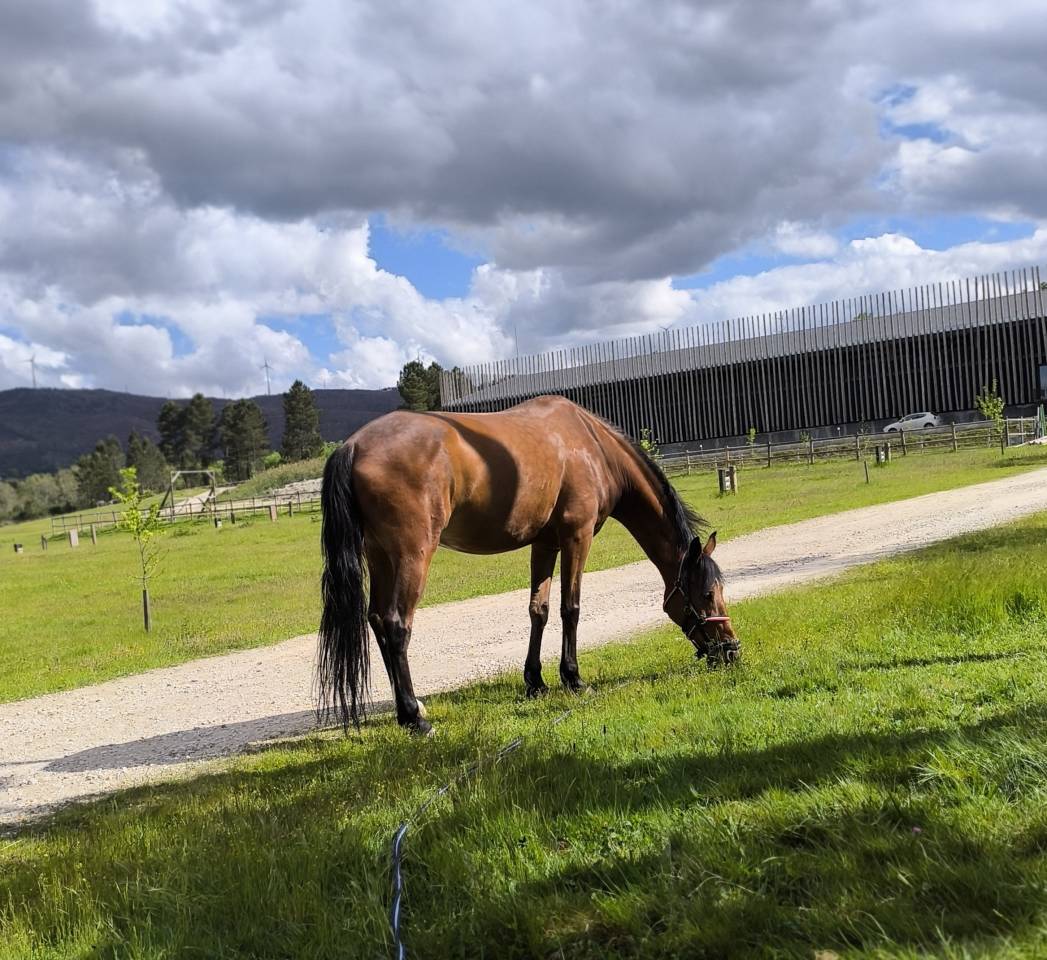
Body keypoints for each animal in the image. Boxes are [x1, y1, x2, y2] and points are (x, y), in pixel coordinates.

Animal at [318, 394, 738, 735]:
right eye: (707, 593)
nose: (732, 650)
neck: (593, 447)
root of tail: (354, 446)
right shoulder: (576, 537)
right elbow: (571, 608)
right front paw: (573, 679)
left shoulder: (544, 543)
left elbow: (540, 609)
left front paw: (535, 682)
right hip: (411, 554)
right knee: (395, 625)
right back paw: (414, 718)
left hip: (380, 555)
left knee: (376, 621)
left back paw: (410, 710)